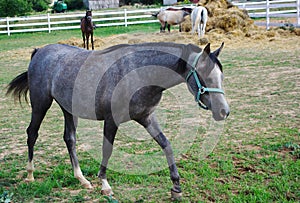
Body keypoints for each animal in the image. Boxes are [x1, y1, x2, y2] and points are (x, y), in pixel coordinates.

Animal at [6, 41, 230, 200]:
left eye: (221, 77)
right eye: (204, 76)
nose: (224, 112)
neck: (138, 73)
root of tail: (39, 52)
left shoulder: (147, 118)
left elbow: (166, 145)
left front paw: (176, 187)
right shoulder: (111, 120)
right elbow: (107, 150)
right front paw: (105, 186)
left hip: (67, 109)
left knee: (69, 139)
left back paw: (82, 179)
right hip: (40, 104)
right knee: (32, 134)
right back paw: (30, 175)